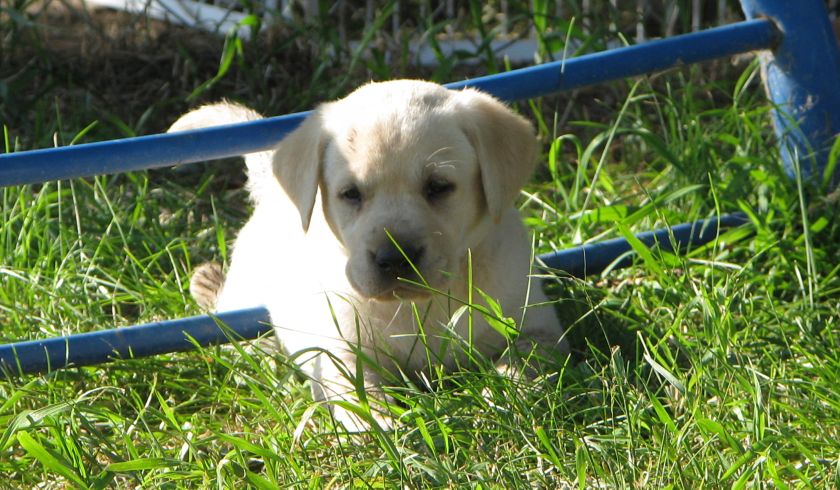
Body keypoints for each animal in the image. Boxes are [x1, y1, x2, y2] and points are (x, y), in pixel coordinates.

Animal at [169, 80, 564, 428]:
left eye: (438, 187)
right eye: (351, 194)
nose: (395, 259)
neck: (415, 308)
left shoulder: (539, 326)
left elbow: (524, 362)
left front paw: (504, 396)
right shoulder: (339, 348)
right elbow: (356, 388)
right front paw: (382, 421)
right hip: (245, 293)